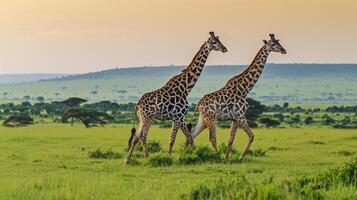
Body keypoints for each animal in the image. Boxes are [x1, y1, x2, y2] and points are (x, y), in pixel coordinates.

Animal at [124, 32, 227, 165]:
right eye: (214, 42)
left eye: (219, 40)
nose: (225, 49)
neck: (186, 88)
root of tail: (137, 105)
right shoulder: (180, 117)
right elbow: (189, 137)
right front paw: (196, 155)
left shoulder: (175, 118)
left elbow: (172, 140)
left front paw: (170, 157)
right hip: (147, 118)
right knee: (140, 136)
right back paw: (135, 158)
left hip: (145, 118)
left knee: (139, 135)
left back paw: (138, 157)